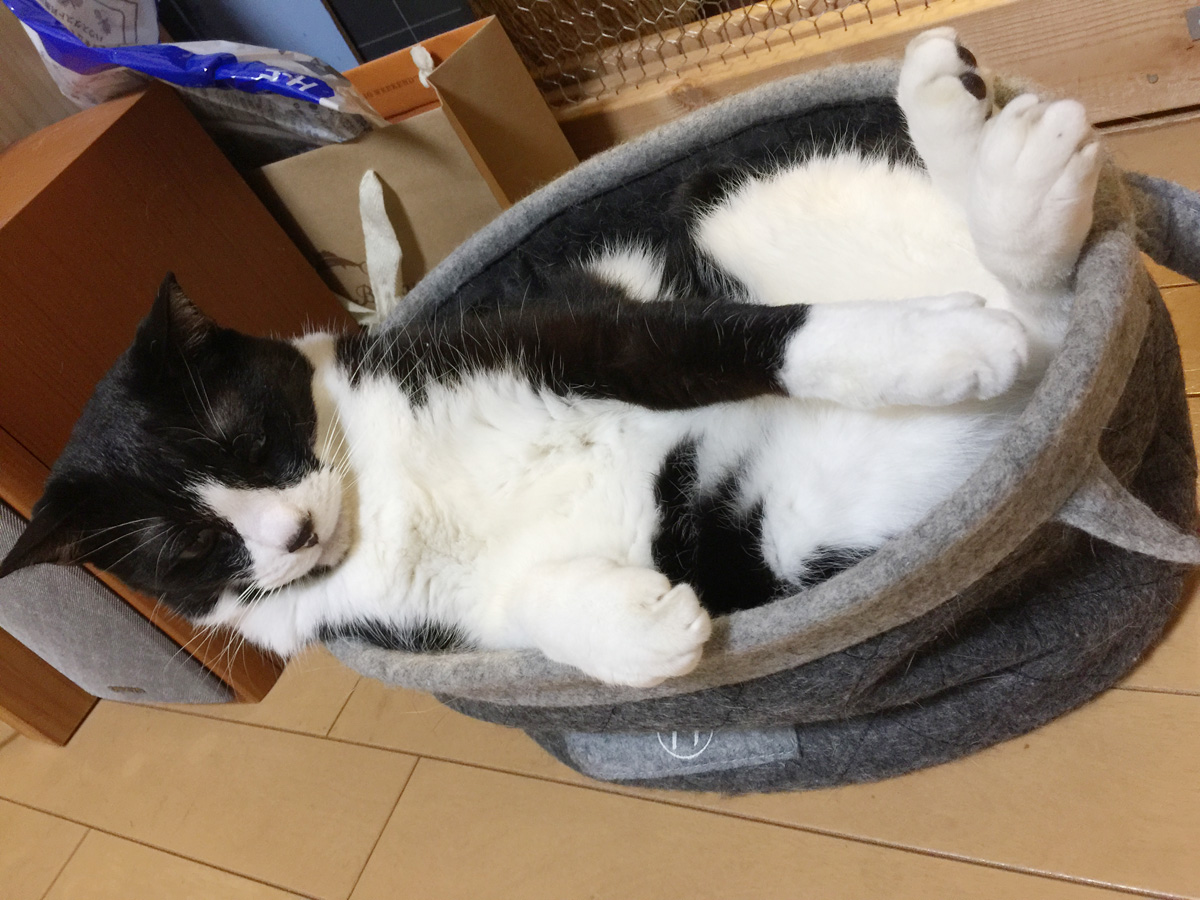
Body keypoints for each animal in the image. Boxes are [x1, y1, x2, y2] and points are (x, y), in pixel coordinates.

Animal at [0, 30, 1101, 687]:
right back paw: (1018, 191)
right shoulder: (416, 620)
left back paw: (974, 141)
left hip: (747, 209)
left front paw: (932, 341)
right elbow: (517, 610)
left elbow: (745, 339)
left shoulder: (563, 332)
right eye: (188, 548)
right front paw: (644, 634)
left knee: (1010, 286)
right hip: (801, 517)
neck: (379, 496)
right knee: (1037, 325)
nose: (291, 532)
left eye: (243, 437)